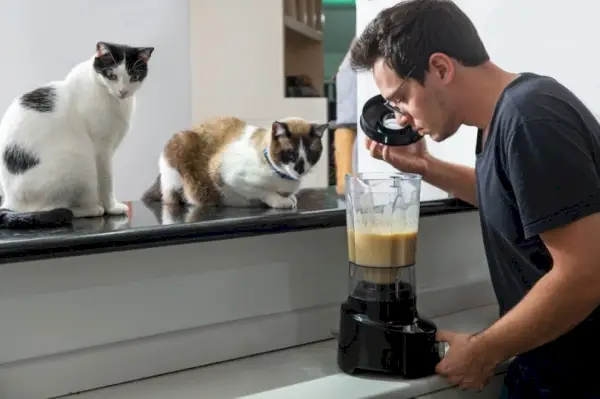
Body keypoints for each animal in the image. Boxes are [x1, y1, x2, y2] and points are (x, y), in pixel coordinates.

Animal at [0, 41, 155, 230]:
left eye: (134, 77)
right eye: (111, 75)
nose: (123, 91)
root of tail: (9, 202)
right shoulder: (102, 149)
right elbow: (106, 181)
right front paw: (111, 207)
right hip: (79, 164)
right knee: (56, 208)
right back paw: (92, 209)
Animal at [141, 116, 328, 209]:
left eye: (310, 152)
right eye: (290, 153)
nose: (300, 169)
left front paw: (291, 198)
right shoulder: (227, 176)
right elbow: (264, 192)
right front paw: (282, 201)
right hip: (180, 147)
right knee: (174, 198)